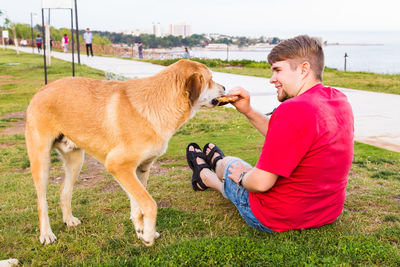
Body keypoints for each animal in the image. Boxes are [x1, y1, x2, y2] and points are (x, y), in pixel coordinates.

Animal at [25, 60, 225, 247]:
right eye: (210, 79)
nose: (224, 87)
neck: (157, 103)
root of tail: (42, 89)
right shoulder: (118, 166)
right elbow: (149, 204)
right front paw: (148, 236)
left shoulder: (140, 169)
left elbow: (138, 205)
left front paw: (141, 230)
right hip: (41, 160)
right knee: (41, 201)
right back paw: (46, 234)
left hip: (75, 161)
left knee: (64, 191)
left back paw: (68, 220)